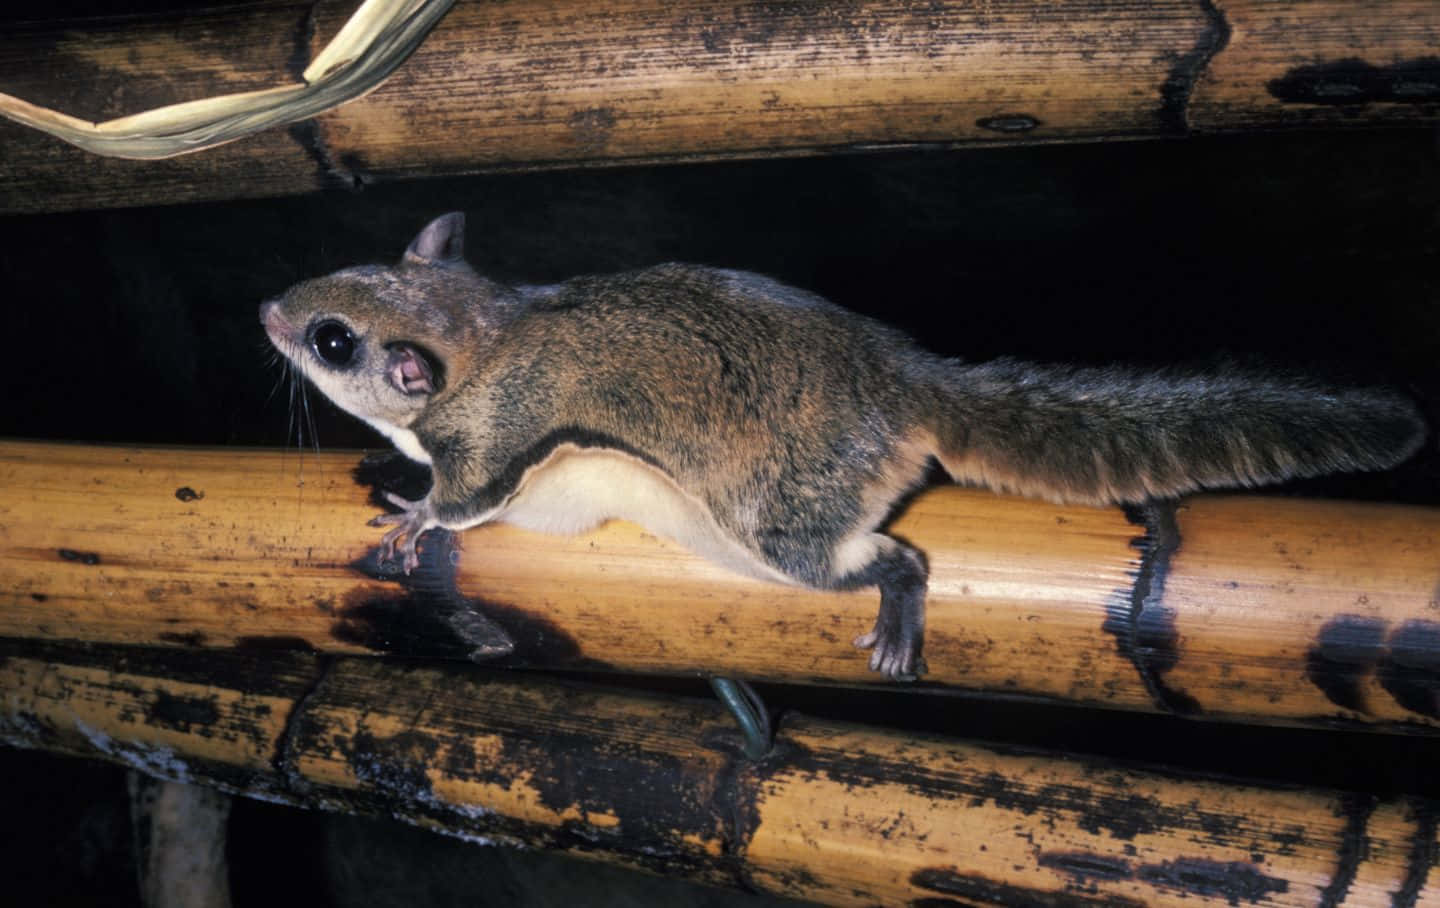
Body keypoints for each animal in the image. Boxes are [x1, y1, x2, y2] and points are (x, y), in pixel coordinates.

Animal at [264, 214, 1422, 682]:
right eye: (343, 274)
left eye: (333, 341)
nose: (268, 308)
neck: (489, 329)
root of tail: (898, 376)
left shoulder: (491, 440)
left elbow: (464, 497)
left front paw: (416, 511)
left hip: (784, 523)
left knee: (890, 556)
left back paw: (900, 609)